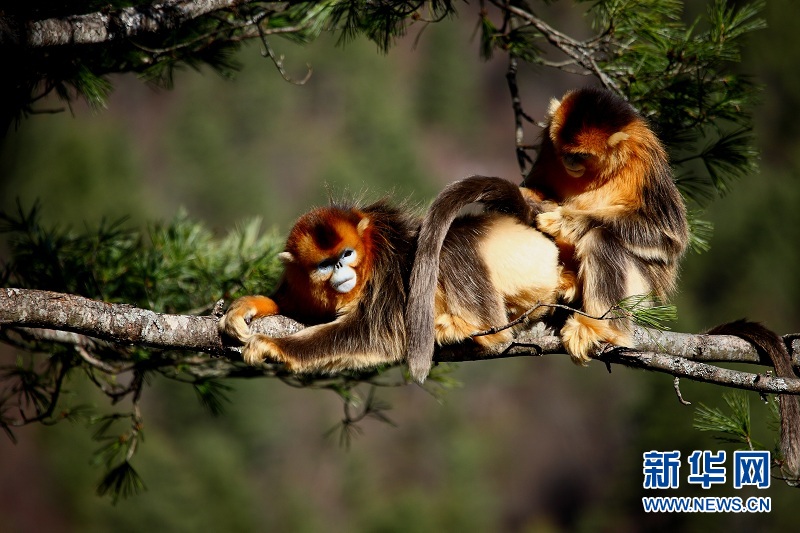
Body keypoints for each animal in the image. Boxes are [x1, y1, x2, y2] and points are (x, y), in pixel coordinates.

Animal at [219, 177, 564, 372]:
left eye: (346, 254)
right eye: (325, 265)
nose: (341, 269)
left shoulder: (387, 270)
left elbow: (373, 335)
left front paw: (272, 345)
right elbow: (291, 306)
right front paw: (244, 307)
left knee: (452, 245)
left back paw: (485, 332)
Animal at [524, 86, 688, 362]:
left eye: (581, 155)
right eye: (564, 151)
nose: (568, 161)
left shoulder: (645, 160)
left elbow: (669, 235)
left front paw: (568, 221)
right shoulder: (548, 144)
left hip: (641, 295)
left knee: (600, 239)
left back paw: (600, 329)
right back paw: (568, 281)